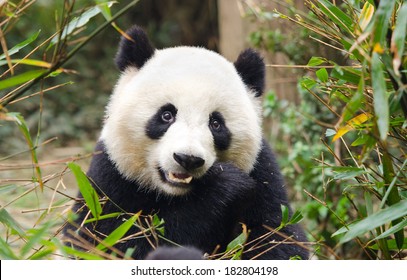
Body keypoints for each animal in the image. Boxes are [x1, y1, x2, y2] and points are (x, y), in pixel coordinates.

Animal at [62, 25, 308, 260]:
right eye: (167, 115)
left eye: (216, 123)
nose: (187, 159)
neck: (176, 194)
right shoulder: (110, 179)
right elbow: (108, 239)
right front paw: (224, 185)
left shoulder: (263, 175)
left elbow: (278, 238)